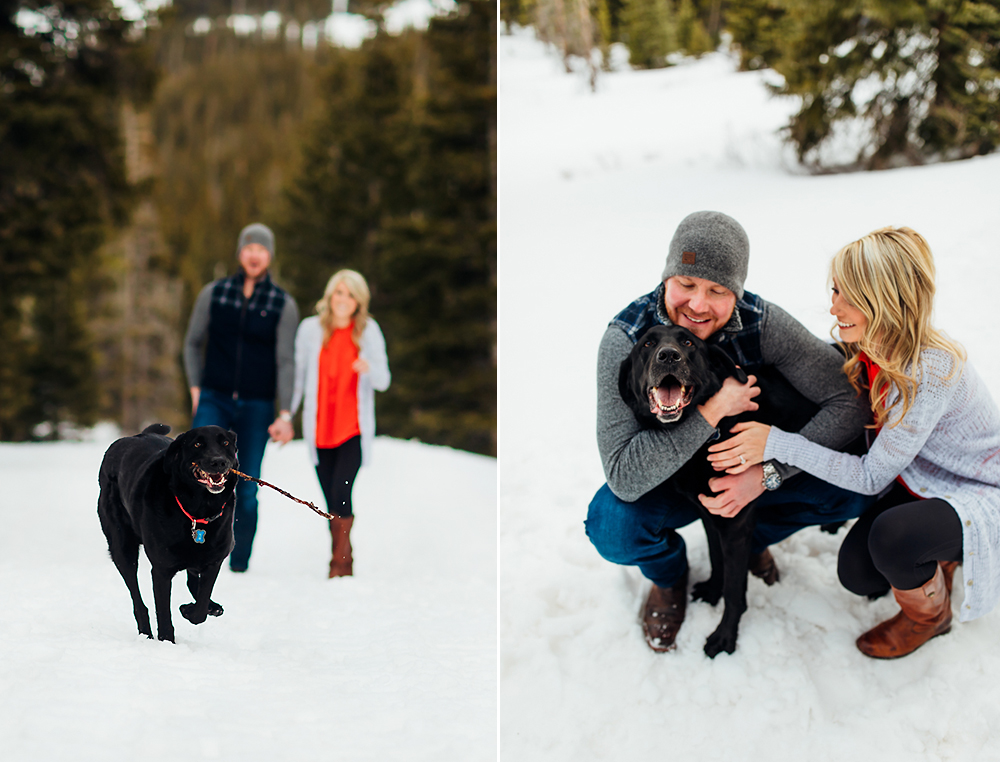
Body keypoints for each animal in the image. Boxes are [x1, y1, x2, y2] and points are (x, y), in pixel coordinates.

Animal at [95, 422, 240, 640]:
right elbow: (163, 612)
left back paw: (211, 606)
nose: (219, 462)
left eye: (225, 443)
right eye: (197, 444)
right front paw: (166, 641)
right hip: (122, 549)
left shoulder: (214, 560)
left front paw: (192, 609)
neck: (198, 511)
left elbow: (200, 609)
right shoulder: (161, 569)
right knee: (138, 600)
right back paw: (145, 633)